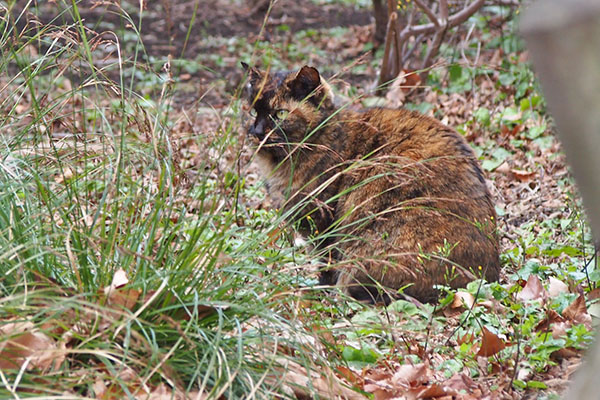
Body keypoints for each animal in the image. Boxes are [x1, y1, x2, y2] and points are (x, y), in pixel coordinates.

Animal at [241, 62, 500, 302]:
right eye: (252, 112)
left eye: (280, 114)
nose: (256, 131)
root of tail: (484, 279)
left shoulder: (323, 223)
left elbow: (326, 263)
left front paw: (320, 290)